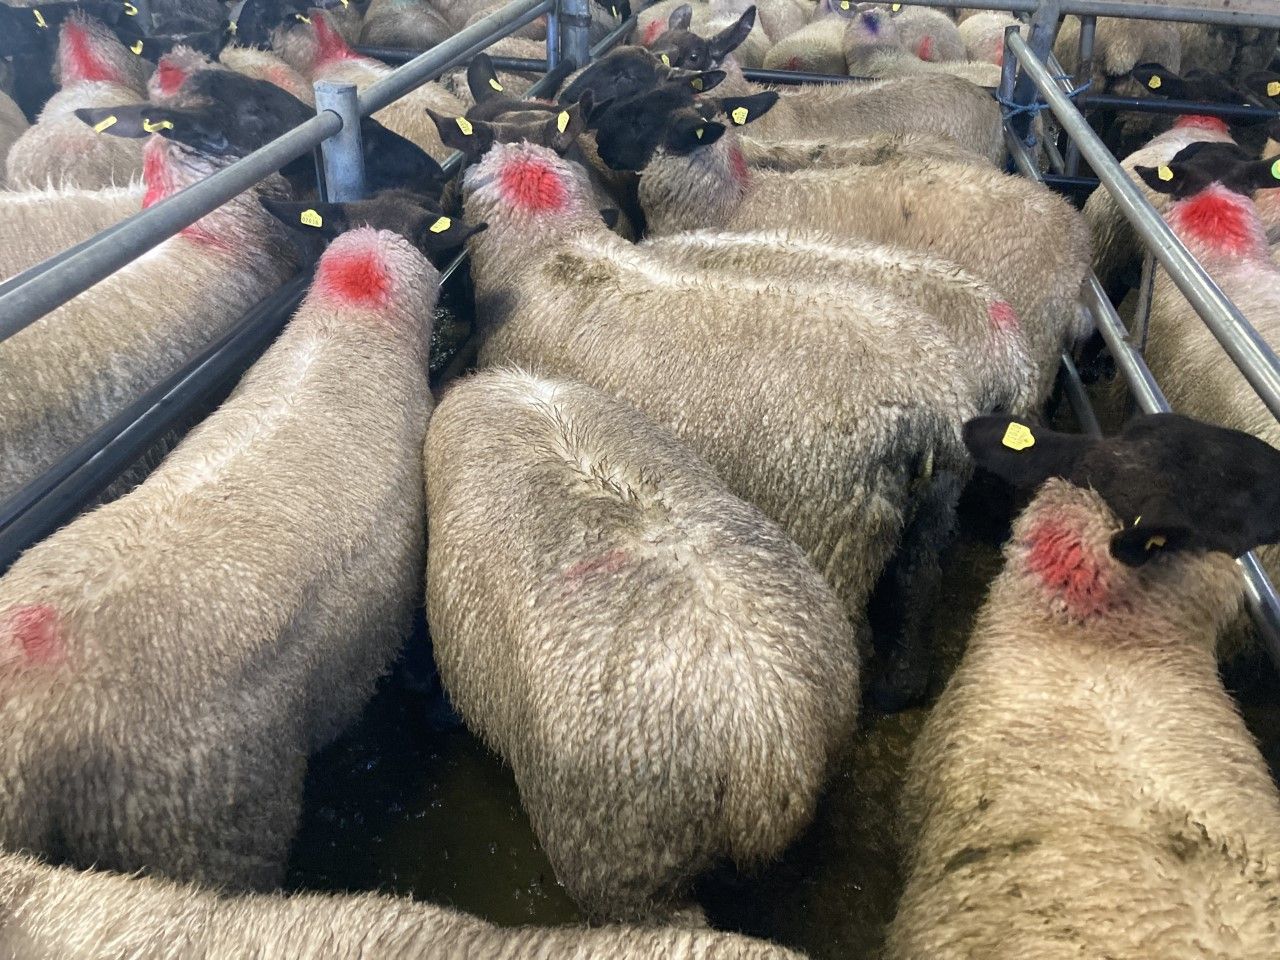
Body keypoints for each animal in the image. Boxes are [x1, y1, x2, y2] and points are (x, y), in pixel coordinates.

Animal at [462, 140, 978, 709]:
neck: (551, 255)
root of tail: (929, 411)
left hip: (833, 531)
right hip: (934, 506)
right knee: (917, 586)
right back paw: (900, 686)